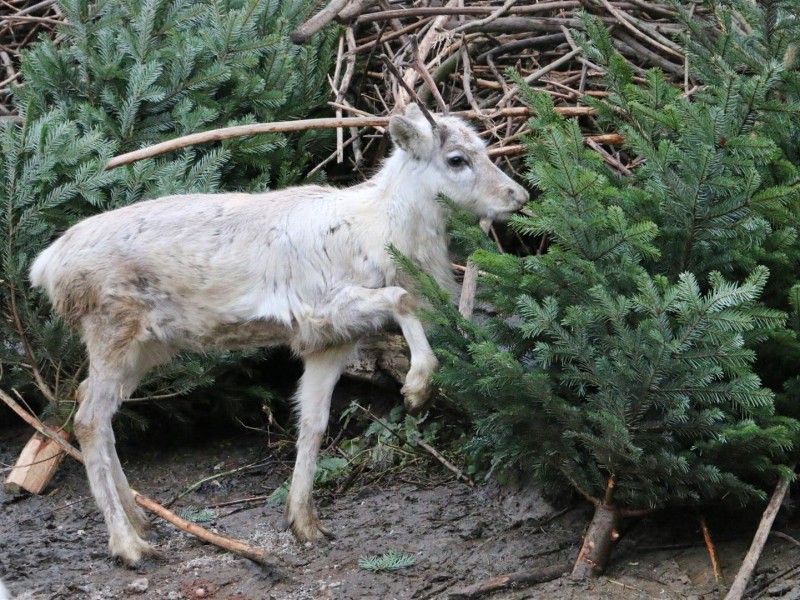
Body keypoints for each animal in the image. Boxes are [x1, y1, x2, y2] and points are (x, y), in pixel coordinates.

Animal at [31, 105, 528, 564]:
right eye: (457, 159)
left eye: (486, 148)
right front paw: (417, 387)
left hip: (148, 346)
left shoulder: (331, 340)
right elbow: (402, 300)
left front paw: (305, 524)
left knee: (90, 402)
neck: (386, 238)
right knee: (88, 418)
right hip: (112, 327)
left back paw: (141, 521)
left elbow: (313, 423)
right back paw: (128, 544)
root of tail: (46, 268)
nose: (518, 196)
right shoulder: (321, 310)